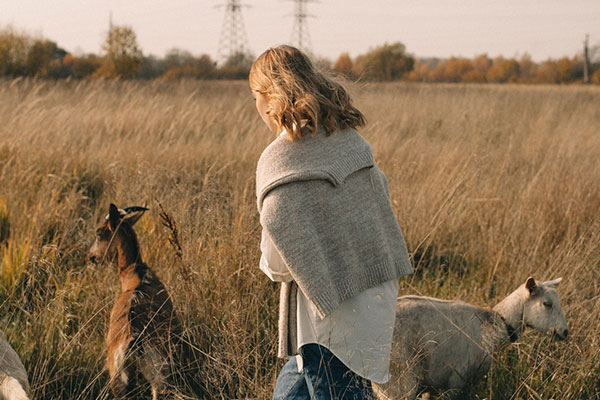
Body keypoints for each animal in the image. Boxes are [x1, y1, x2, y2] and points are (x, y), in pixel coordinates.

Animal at [88, 205, 183, 398]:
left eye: (99, 232)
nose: (91, 256)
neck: (135, 274)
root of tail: (133, 341)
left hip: (120, 382)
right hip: (158, 377)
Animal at [376, 278, 568, 400]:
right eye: (547, 304)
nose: (565, 332)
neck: (496, 324)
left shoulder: (431, 385)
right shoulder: (456, 382)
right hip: (399, 380)